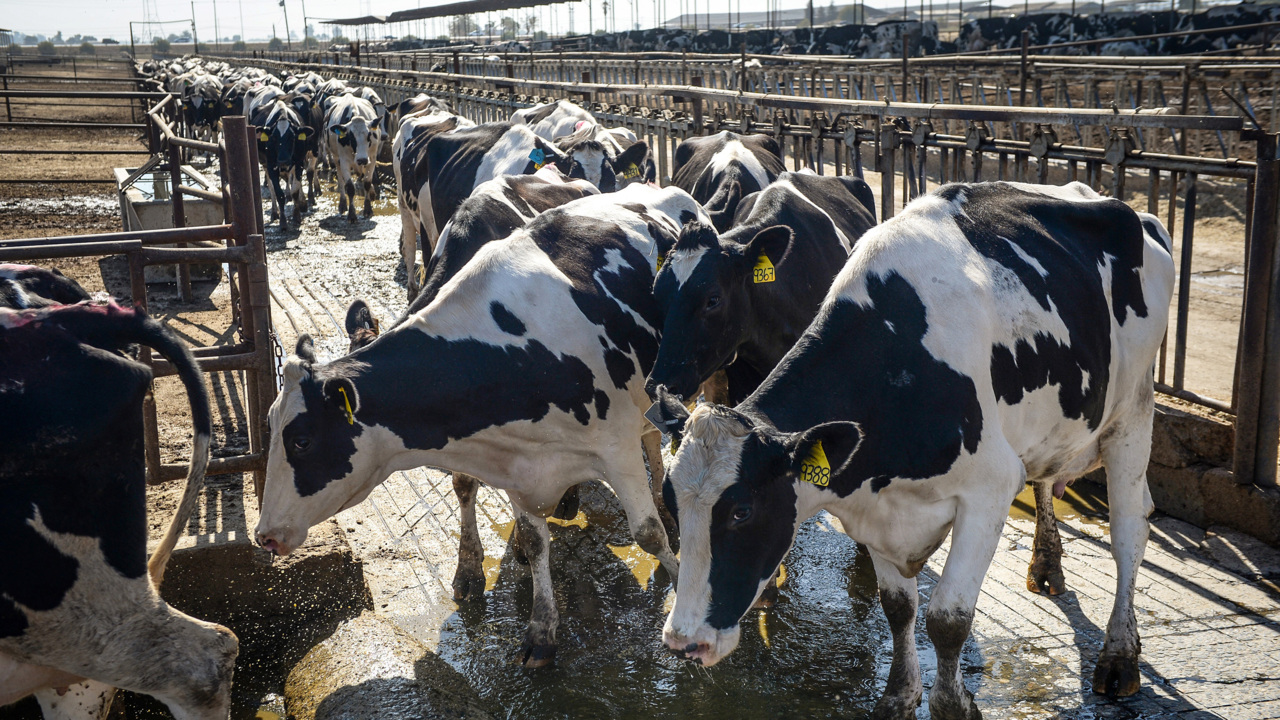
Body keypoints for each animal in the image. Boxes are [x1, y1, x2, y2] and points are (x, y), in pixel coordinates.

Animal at [255, 185, 710, 666]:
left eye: (302, 441)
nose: (264, 536)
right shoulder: (517, 462)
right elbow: (531, 537)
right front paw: (540, 628)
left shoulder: (615, 449)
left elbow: (648, 534)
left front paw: (679, 590)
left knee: (658, 441)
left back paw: (666, 503)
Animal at [324, 94, 383, 223]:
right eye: (351, 136)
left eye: (369, 135)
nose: (362, 160)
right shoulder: (344, 161)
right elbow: (350, 188)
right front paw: (351, 215)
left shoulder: (371, 159)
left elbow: (367, 183)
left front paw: (368, 209)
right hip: (336, 158)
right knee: (341, 180)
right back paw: (342, 204)